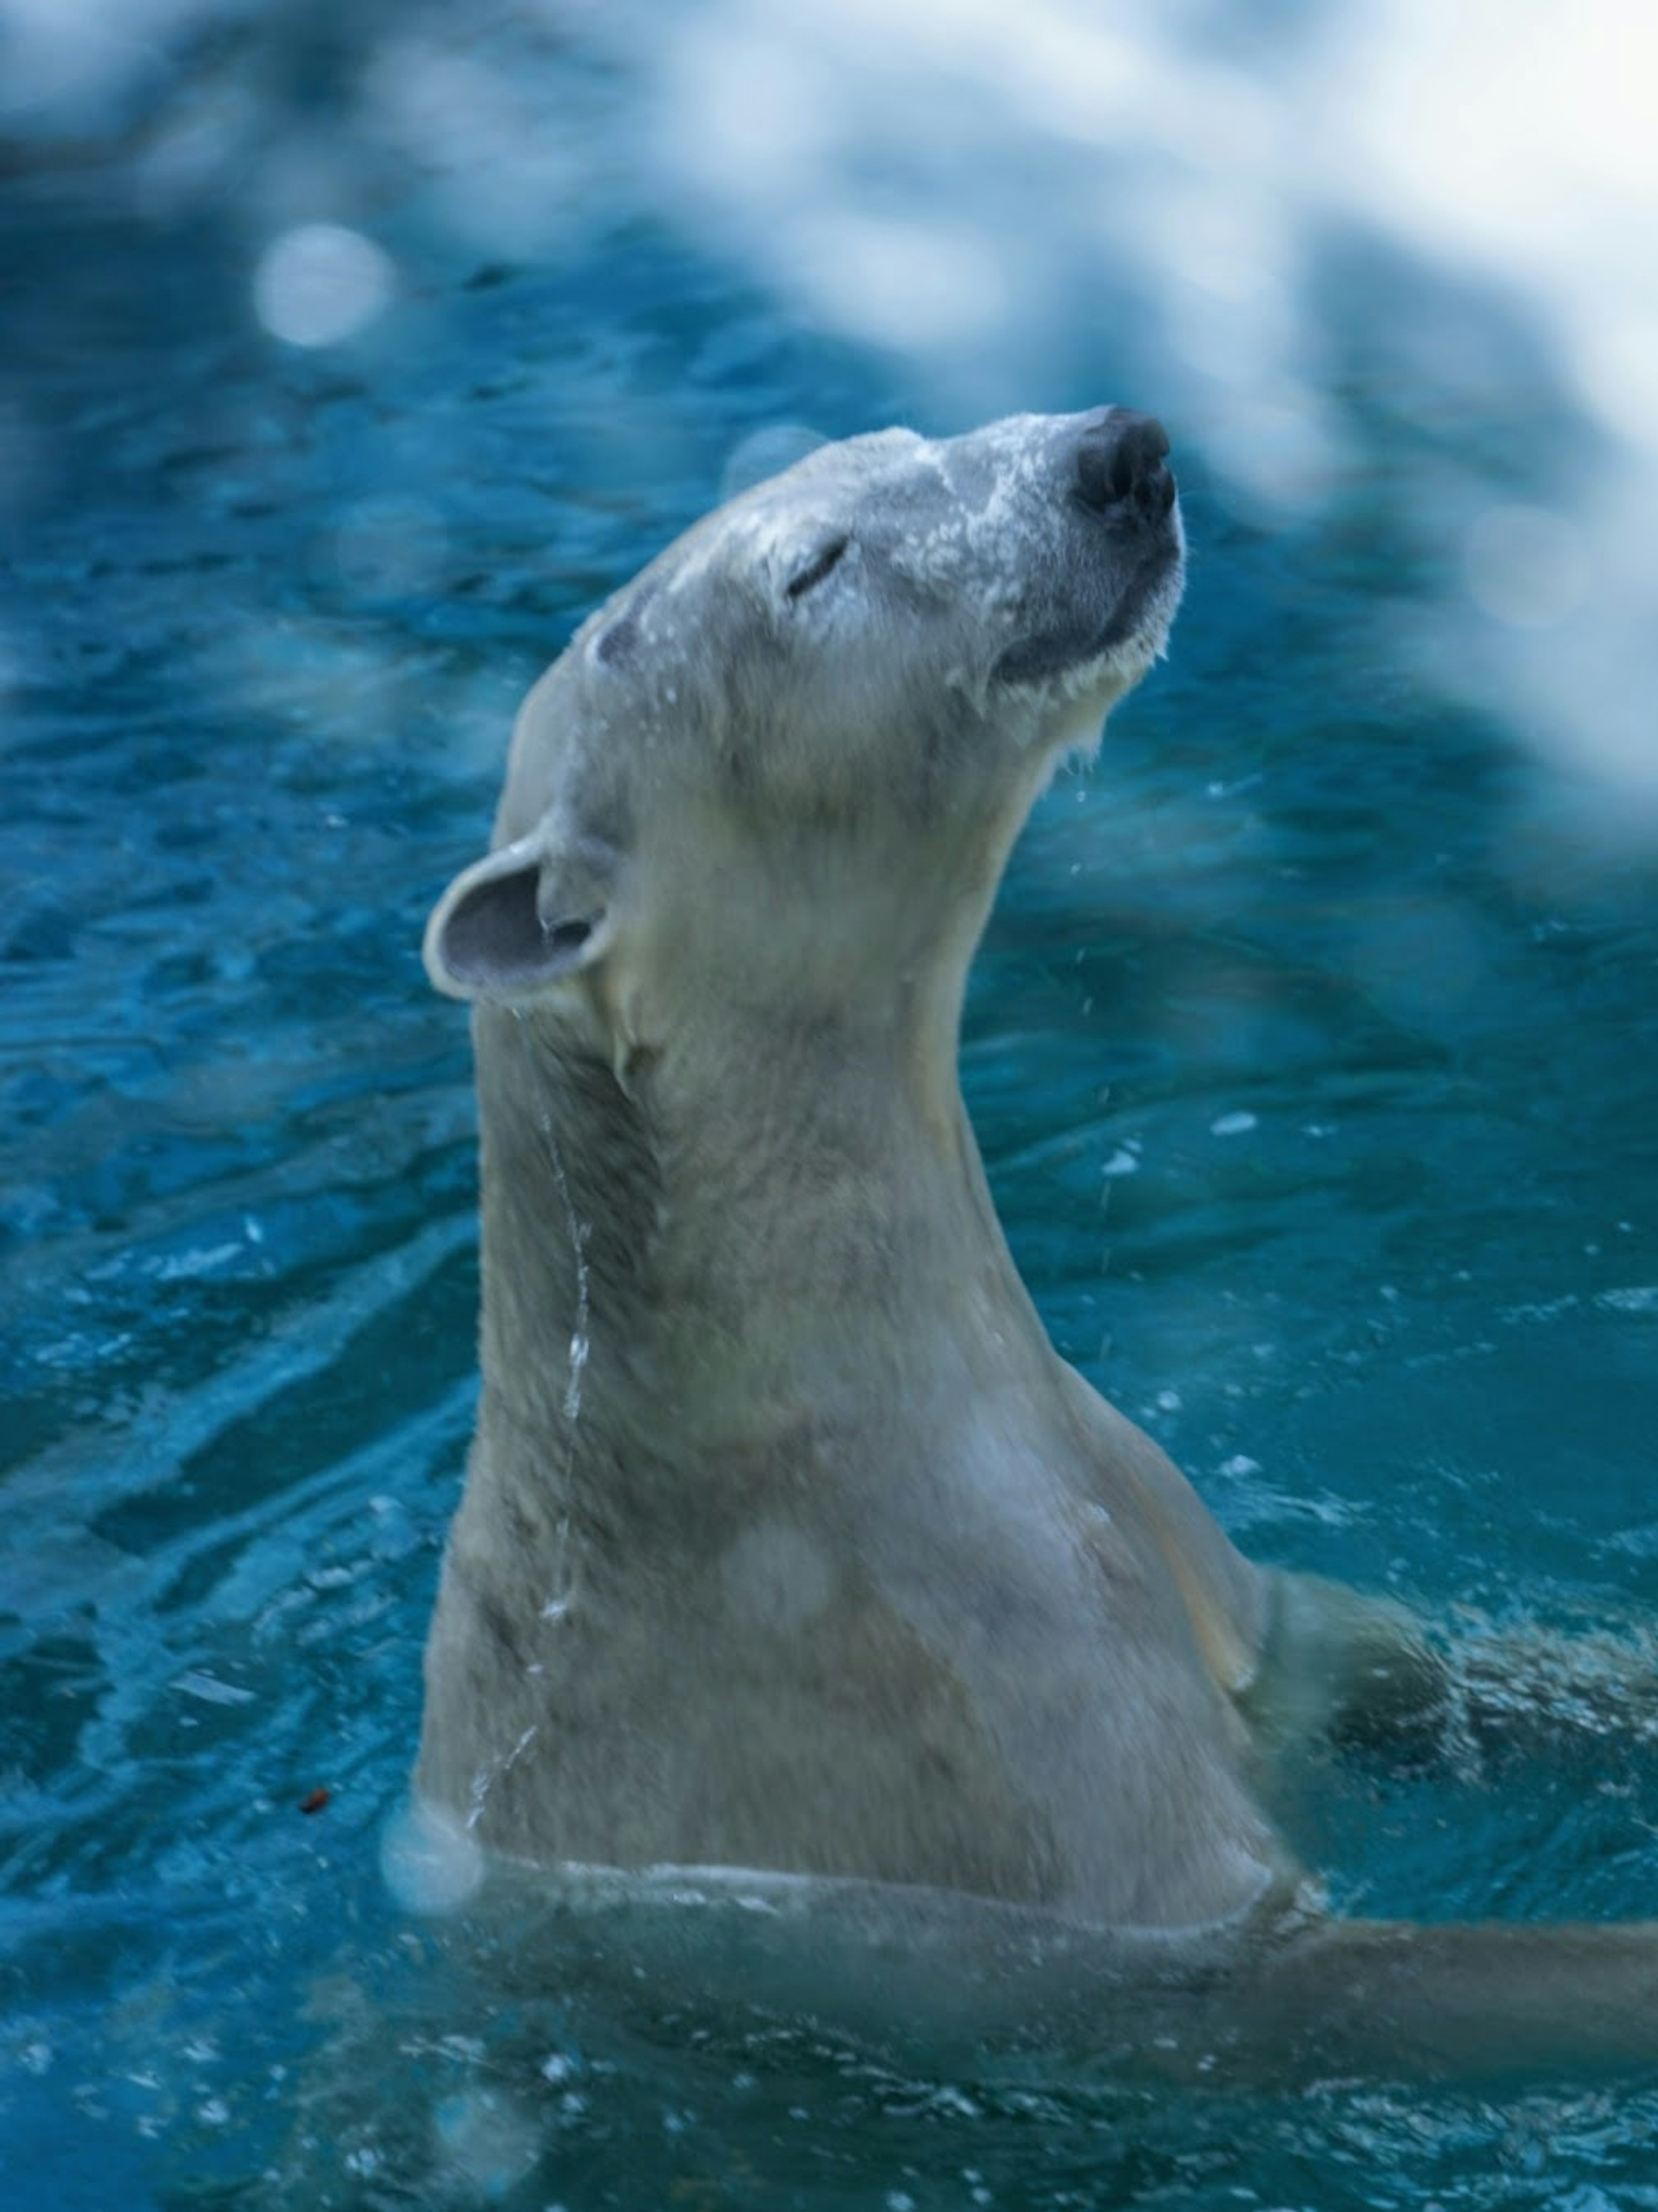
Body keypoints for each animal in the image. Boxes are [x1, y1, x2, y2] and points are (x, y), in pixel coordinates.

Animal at [424, 407, 1658, 2061]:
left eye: (888, 438)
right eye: (811, 567)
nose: (1116, 455)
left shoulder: (1179, 1554)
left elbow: (1375, 1665)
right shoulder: (967, 1720)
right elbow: (1301, 1965)